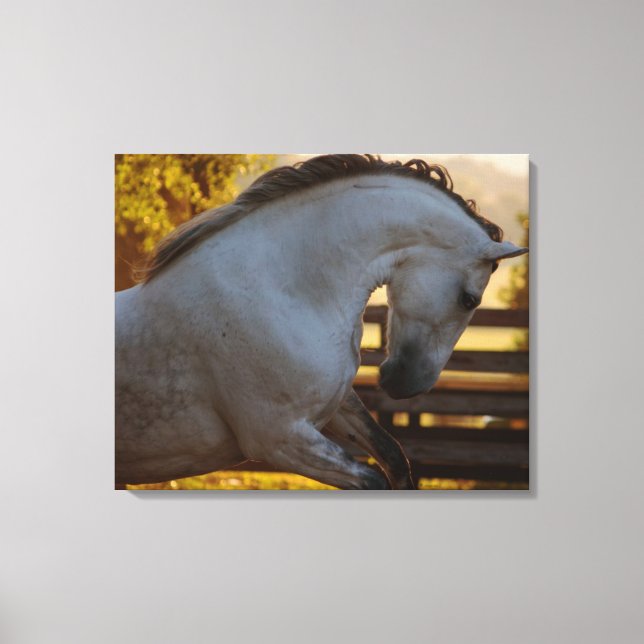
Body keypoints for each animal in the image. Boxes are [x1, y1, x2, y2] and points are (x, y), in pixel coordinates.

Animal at [115, 154, 527, 490]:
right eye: (469, 299)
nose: (407, 386)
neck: (281, 290)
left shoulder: (333, 411)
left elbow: (395, 459)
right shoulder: (281, 440)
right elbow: (374, 481)